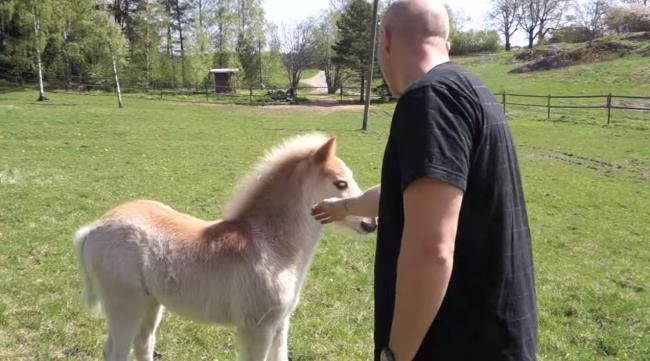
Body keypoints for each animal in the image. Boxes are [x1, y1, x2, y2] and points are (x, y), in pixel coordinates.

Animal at [72, 134, 374, 360]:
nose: (371, 223)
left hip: (151, 304)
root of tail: (93, 228)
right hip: (125, 305)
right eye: (340, 183)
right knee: (118, 351)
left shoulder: (280, 324)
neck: (270, 246)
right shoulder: (257, 329)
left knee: (142, 344)